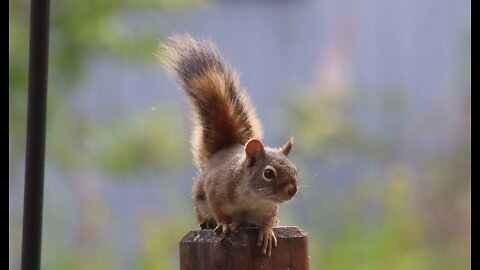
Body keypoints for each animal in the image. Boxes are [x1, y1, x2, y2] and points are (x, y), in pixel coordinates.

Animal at [161, 34, 298, 256]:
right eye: (269, 173)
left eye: (295, 170)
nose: (292, 190)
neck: (253, 197)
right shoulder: (216, 190)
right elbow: (219, 211)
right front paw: (224, 224)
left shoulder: (268, 208)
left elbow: (268, 220)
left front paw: (268, 231)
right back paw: (207, 224)